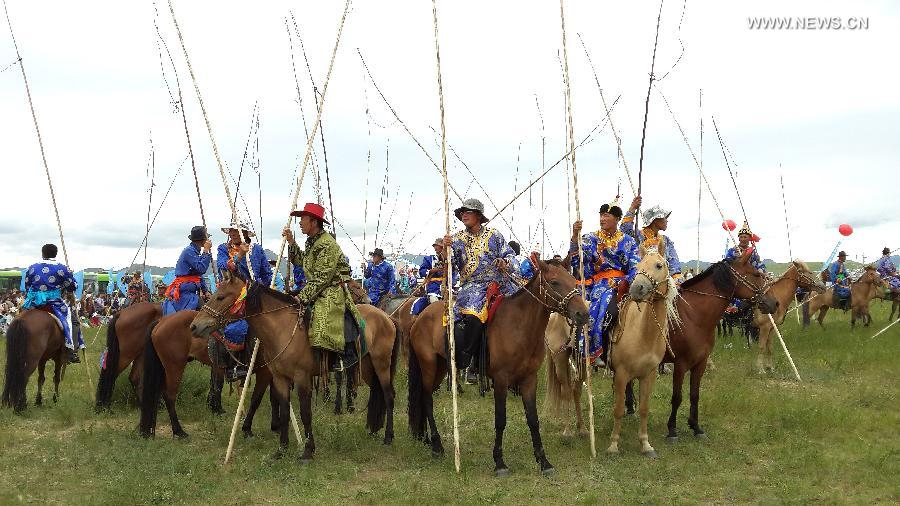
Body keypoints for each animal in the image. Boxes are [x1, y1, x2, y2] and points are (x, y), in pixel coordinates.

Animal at [187, 272, 398, 462]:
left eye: (220, 297)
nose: (194, 326)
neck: (283, 328)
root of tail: (387, 317)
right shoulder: (279, 378)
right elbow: (283, 409)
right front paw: (281, 449)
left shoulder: (300, 377)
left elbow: (303, 412)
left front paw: (308, 451)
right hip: (368, 366)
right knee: (377, 392)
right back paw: (373, 430)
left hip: (381, 364)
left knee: (388, 395)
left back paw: (388, 437)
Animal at [408, 258, 592, 476]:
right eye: (554, 282)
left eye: (573, 279)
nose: (583, 314)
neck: (520, 326)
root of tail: (420, 316)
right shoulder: (501, 379)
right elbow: (500, 419)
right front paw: (499, 462)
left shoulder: (529, 379)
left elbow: (533, 419)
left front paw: (544, 461)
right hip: (428, 364)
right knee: (427, 398)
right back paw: (437, 445)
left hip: (441, 366)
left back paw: (427, 439)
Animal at [604, 243, 676, 456]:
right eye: (637, 266)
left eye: (659, 265)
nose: (637, 288)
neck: (644, 334)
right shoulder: (621, 373)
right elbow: (618, 409)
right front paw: (613, 445)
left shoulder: (649, 374)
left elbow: (644, 408)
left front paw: (645, 444)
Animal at [664, 253, 776, 442]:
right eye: (756, 274)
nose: (775, 303)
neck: (692, 316)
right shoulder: (680, 364)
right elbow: (677, 397)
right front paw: (672, 430)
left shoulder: (700, 363)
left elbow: (694, 395)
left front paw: (696, 427)